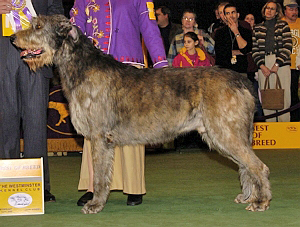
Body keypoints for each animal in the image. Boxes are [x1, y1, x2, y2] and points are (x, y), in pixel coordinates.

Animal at [11, 15, 272, 214]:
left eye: (38, 26)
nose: (13, 38)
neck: (82, 67)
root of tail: (241, 80)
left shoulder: (99, 136)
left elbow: (100, 175)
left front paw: (95, 204)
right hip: (221, 133)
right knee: (246, 165)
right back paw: (249, 197)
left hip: (225, 131)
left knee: (258, 166)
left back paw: (260, 201)